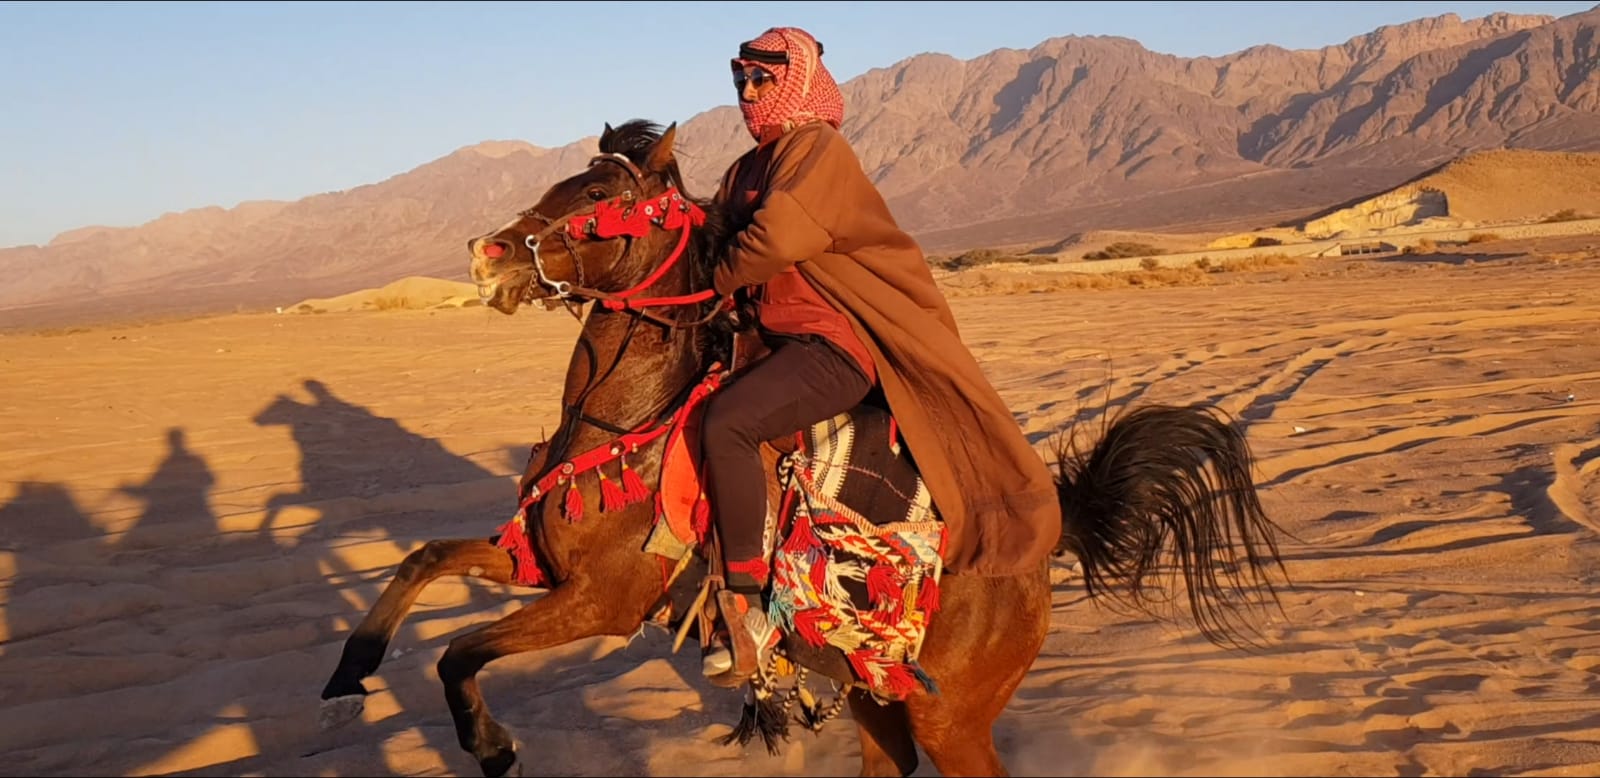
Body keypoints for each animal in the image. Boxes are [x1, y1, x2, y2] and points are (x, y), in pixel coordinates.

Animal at [316, 118, 1289, 777]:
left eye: (601, 198)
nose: (486, 255)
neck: (628, 422)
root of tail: (1037, 549)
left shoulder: (603, 601)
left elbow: (457, 653)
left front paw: (490, 745)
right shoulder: (541, 567)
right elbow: (421, 559)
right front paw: (347, 677)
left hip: (953, 718)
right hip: (877, 695)